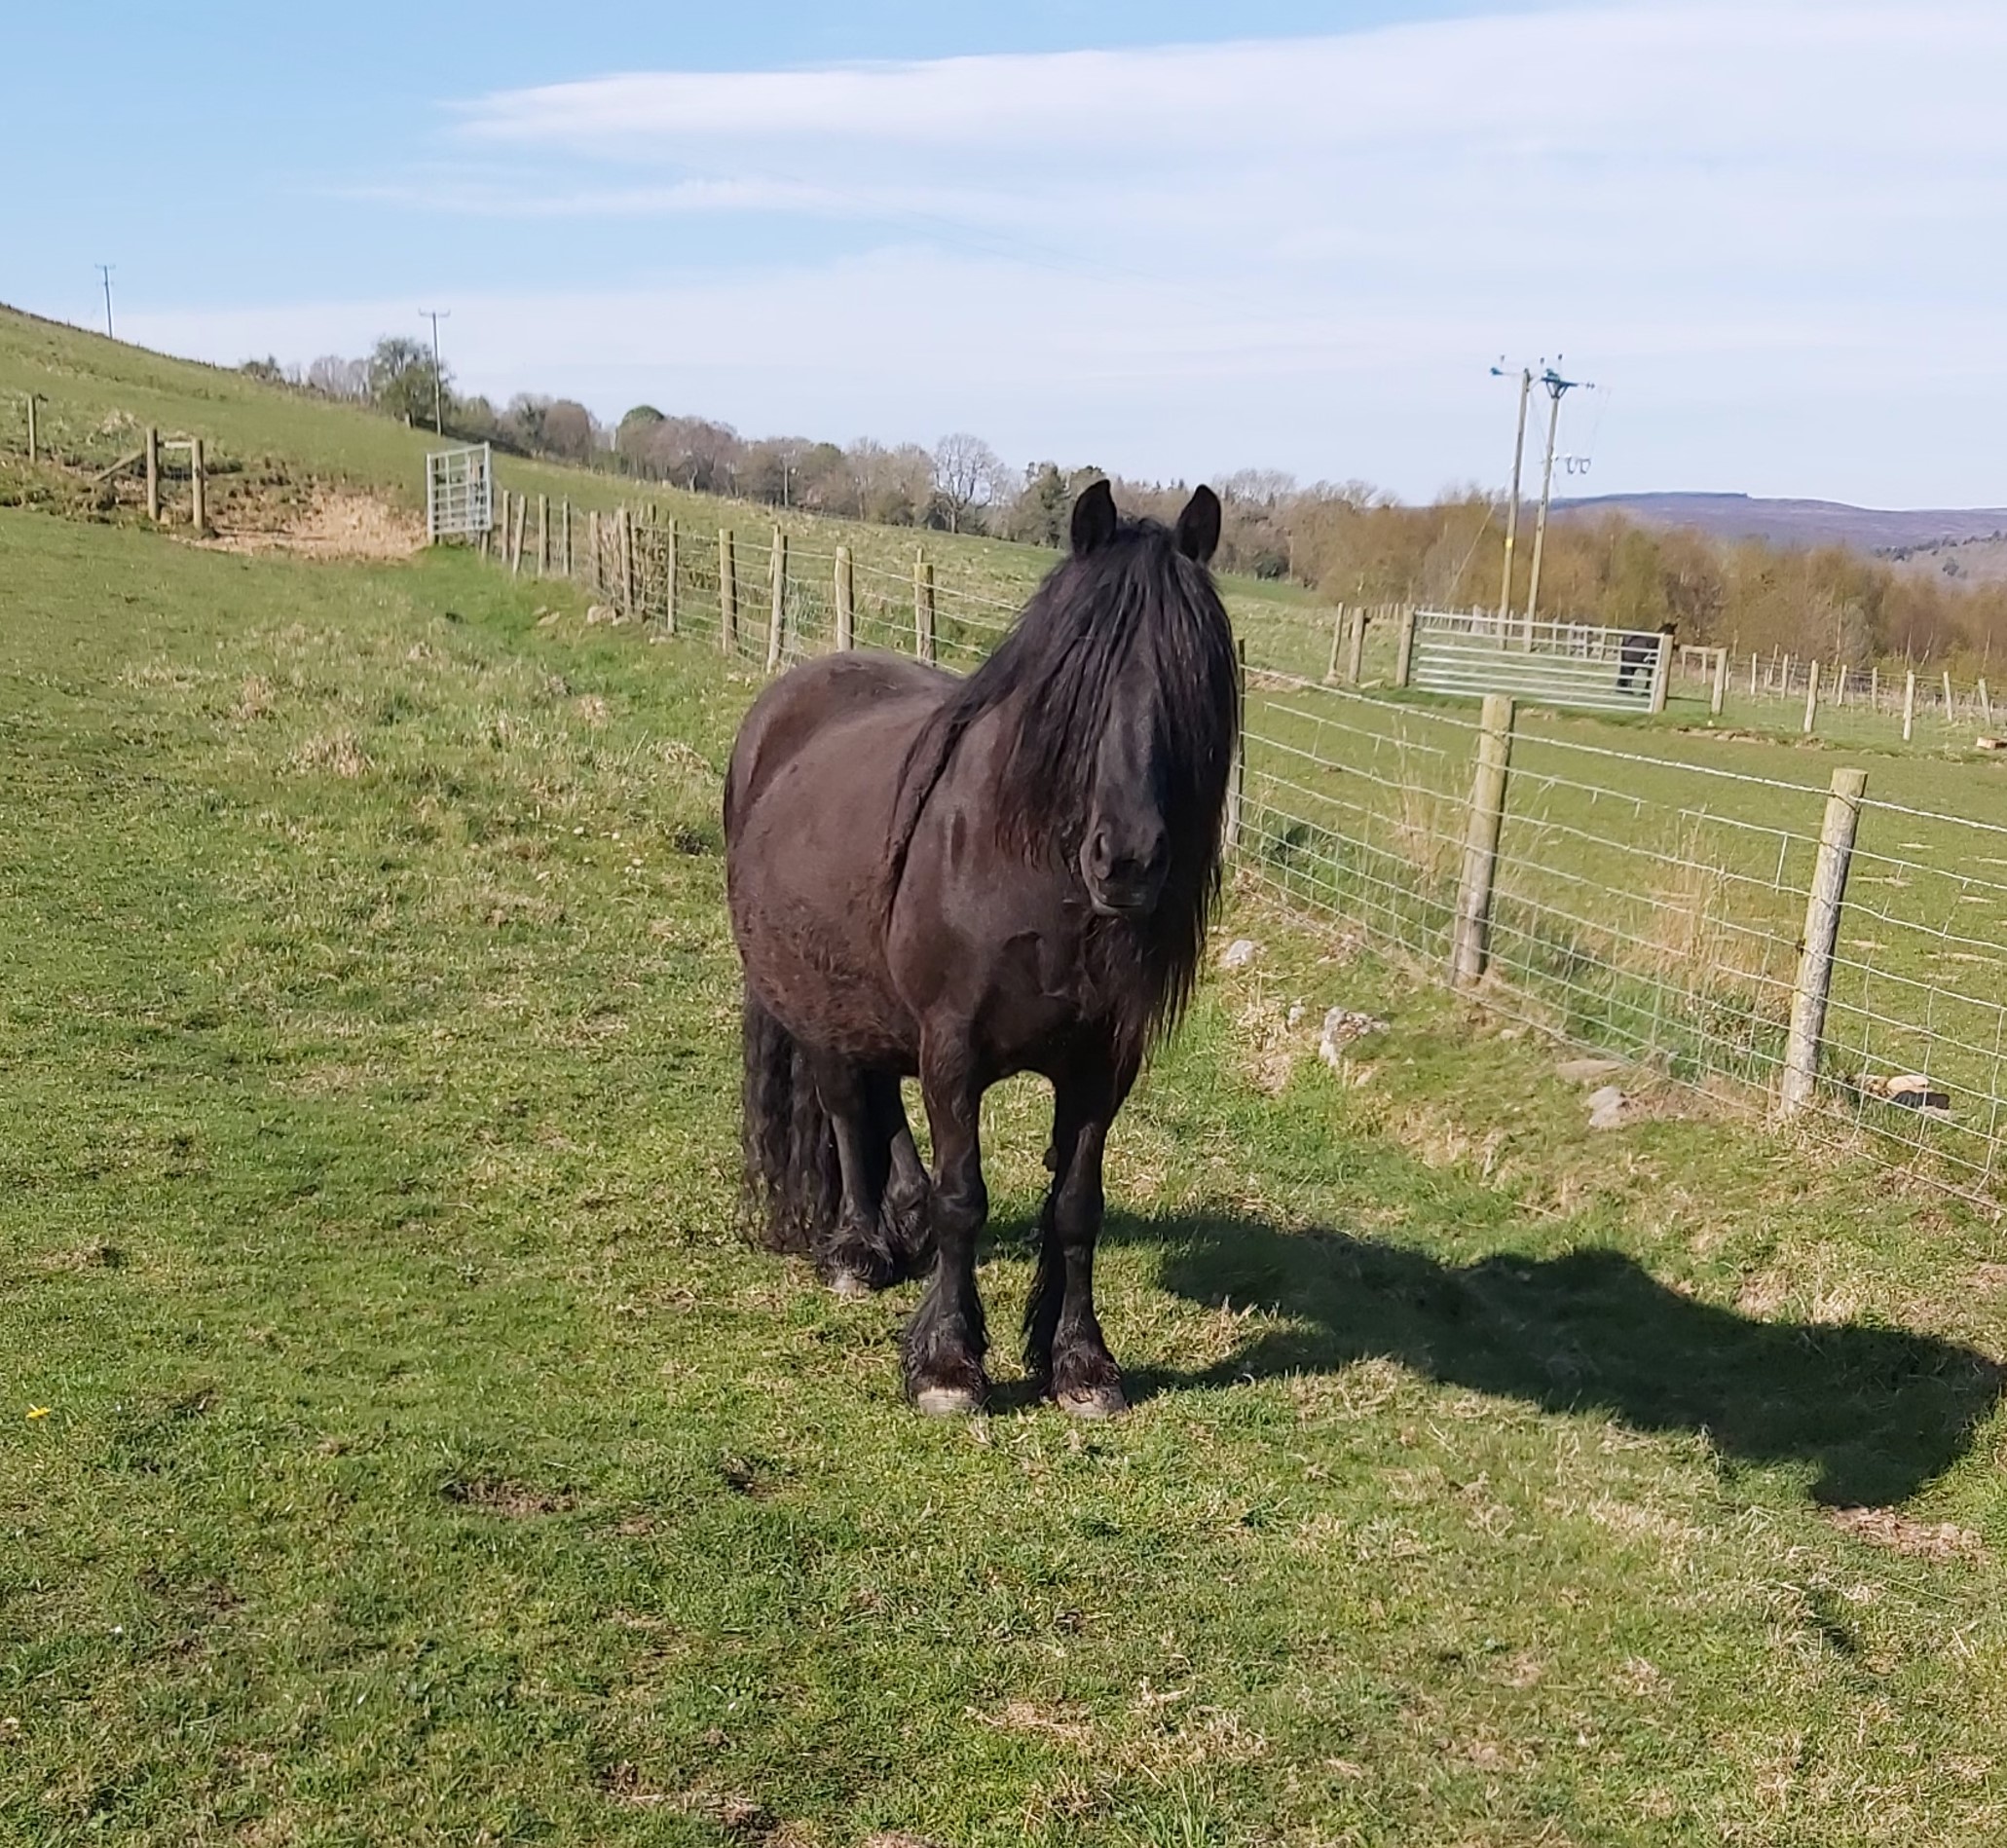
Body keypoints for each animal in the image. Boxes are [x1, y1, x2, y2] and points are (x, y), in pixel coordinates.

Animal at [722, 475, 1236, 1412]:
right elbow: (966, 1196)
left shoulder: (1101, 1065)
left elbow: (1076, 1206)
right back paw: (859, 1248)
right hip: (819, 1006)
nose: (1128, 860)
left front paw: (1079, 1361)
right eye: (1081, 679)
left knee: (882, 1100)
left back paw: (902, 1226)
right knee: (847, 1109)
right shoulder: (955, 1049)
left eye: (1192, 680)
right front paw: (948, 1362)